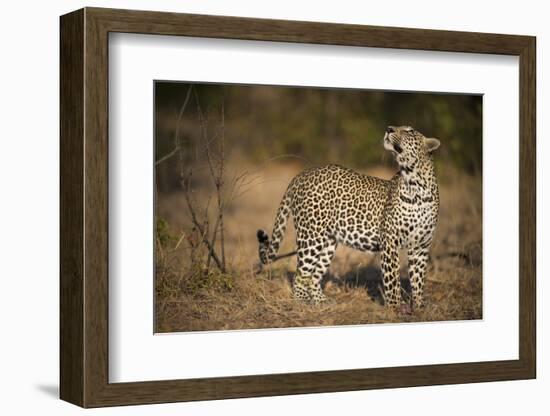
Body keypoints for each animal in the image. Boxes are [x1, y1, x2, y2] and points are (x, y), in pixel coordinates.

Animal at [256, 125, 442, 310]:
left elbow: (418, 280)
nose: (389, 128)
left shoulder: (421, 246)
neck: (416, 185)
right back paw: (303, 303)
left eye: (409, 130)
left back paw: (322, 301)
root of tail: (301, 175)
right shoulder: (390, 242)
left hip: (327, 242)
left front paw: (419, 306)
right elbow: (392, 280)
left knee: (314, 275)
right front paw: (395, 308)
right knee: (301, 275)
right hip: (311, 237)